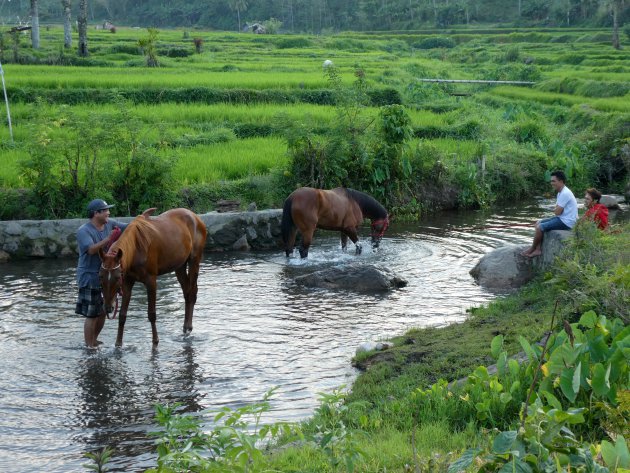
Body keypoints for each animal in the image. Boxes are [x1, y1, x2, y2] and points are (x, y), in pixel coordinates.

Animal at [99, 208, 207, 344]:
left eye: (117, 277)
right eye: (100, 276)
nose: (108, 308)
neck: (136, 248)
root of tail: (195, 217)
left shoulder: (151, 281)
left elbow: (152, 314)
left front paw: (155, 340)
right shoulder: (127, 282)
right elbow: (122, 315)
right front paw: (118, 343)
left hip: (194, 260)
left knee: (192, 293)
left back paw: (188, 328)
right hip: (180, 266)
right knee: (187, 293)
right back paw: (185, 329)